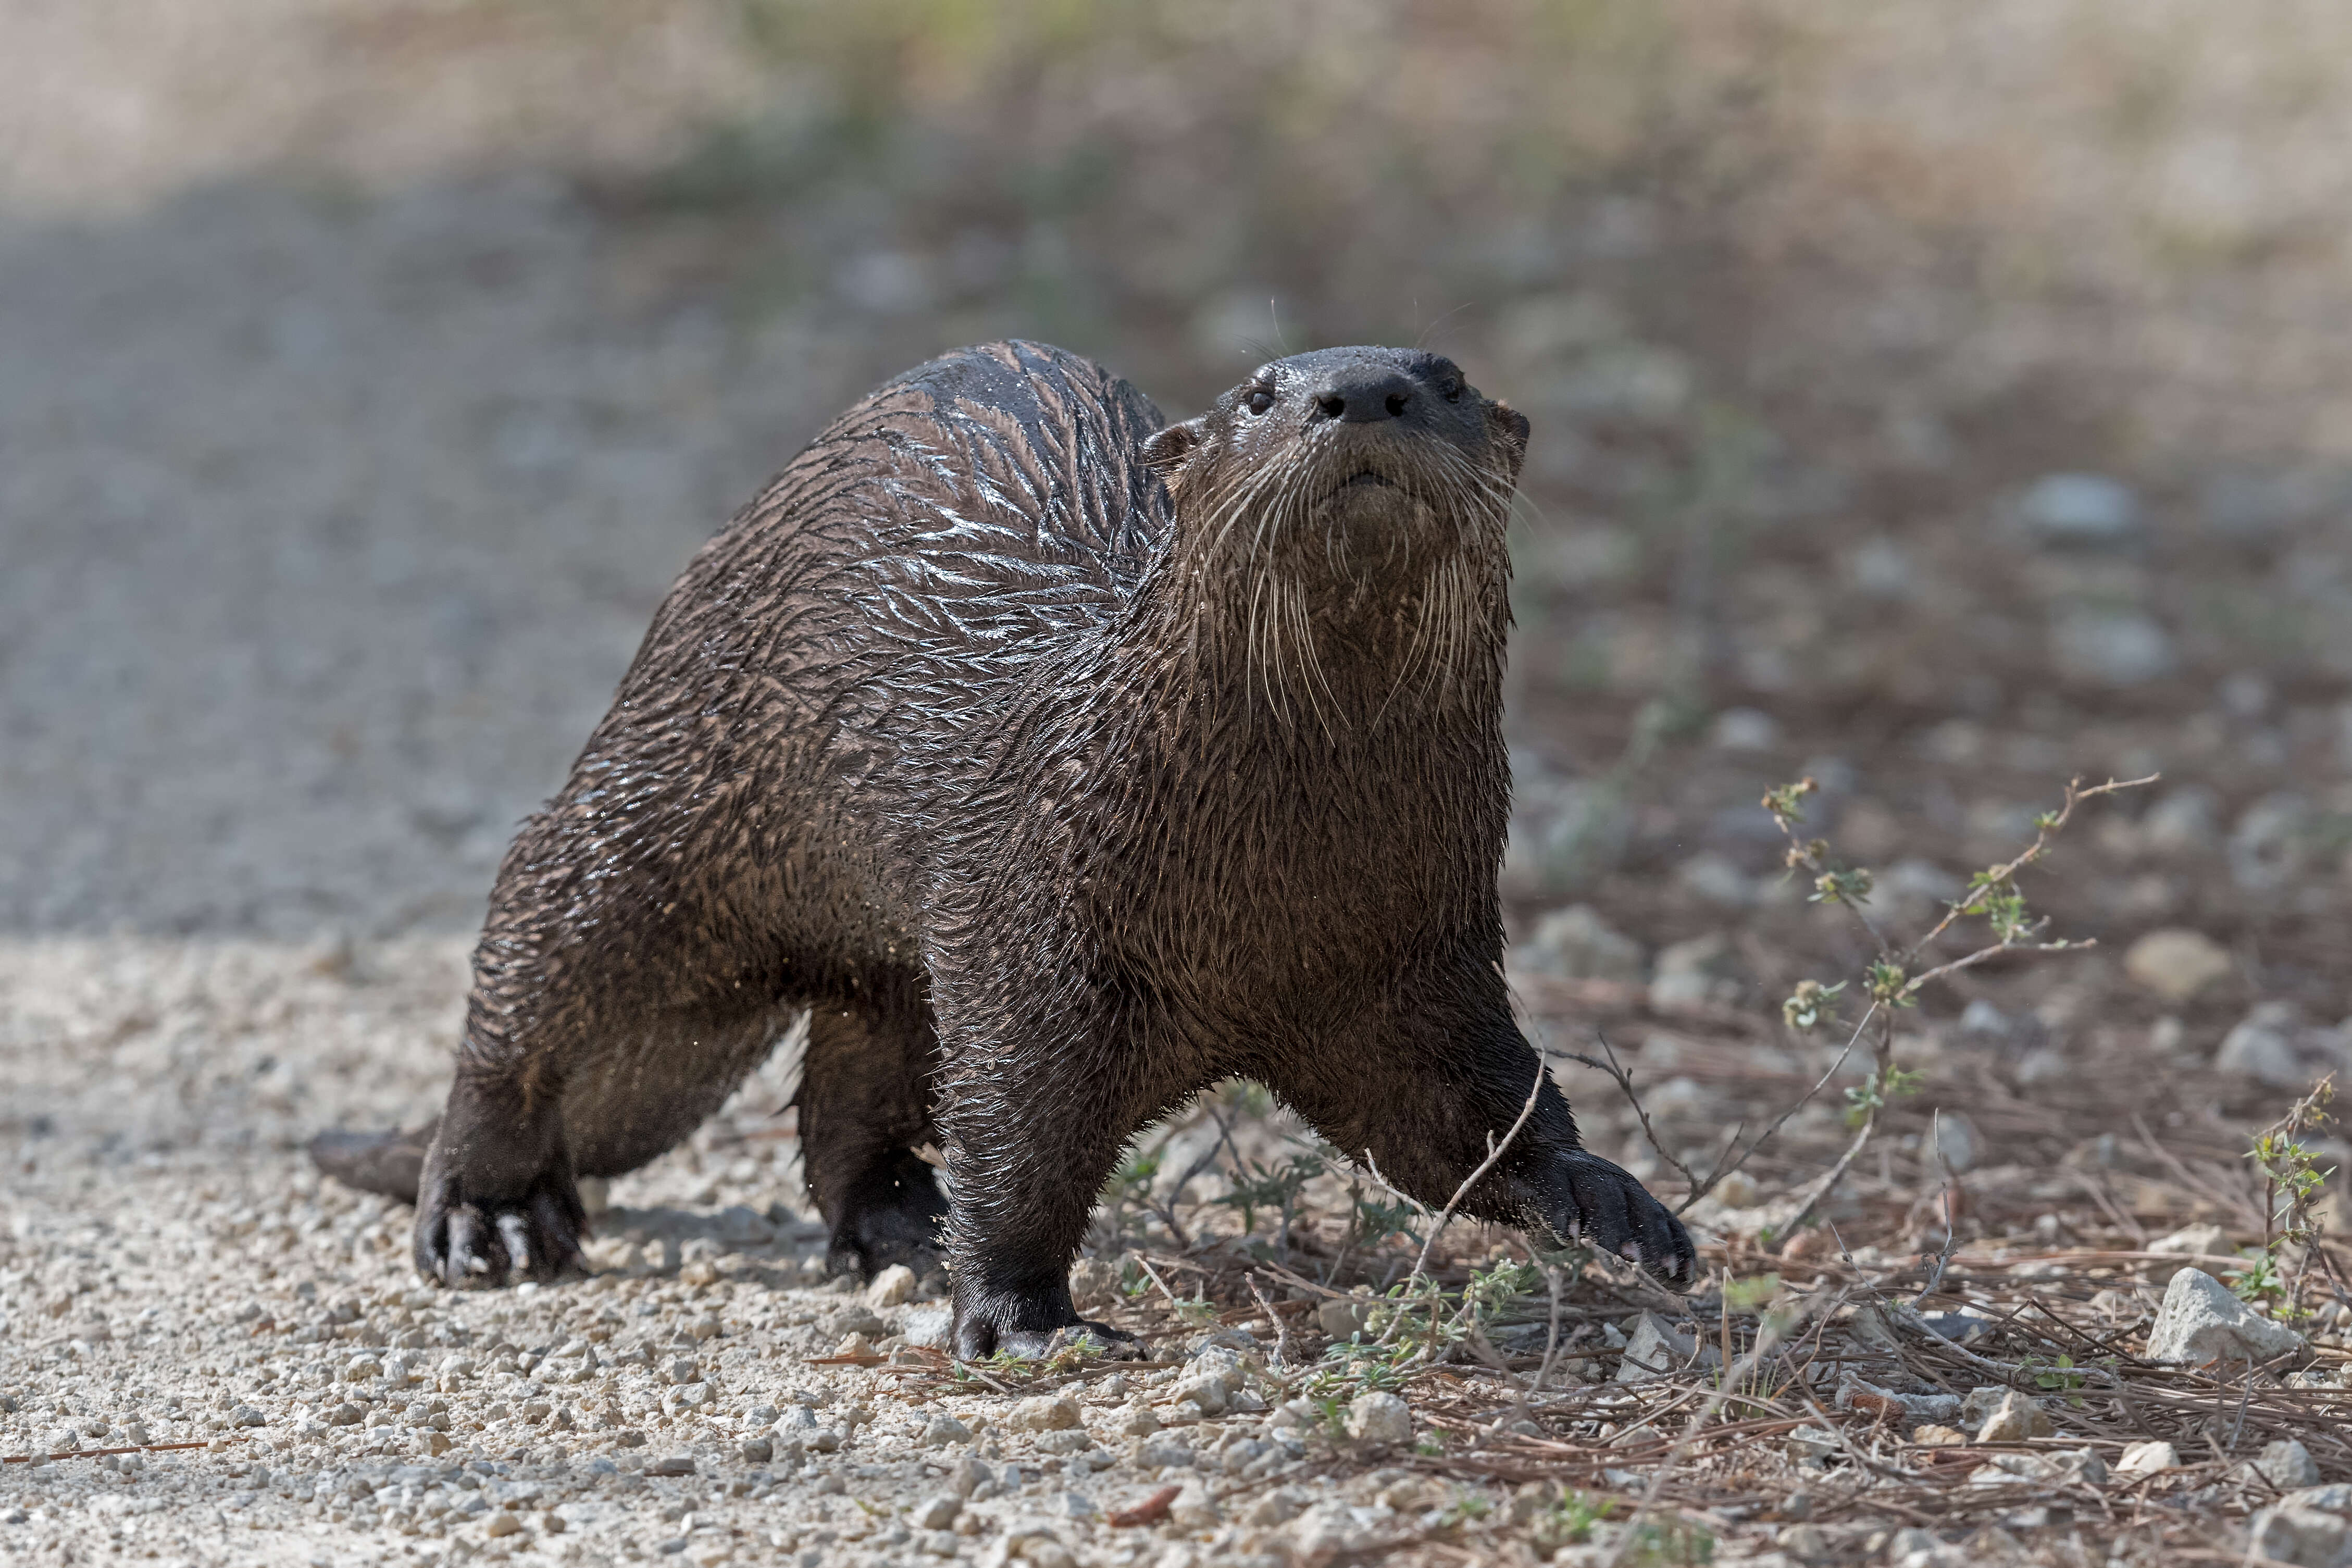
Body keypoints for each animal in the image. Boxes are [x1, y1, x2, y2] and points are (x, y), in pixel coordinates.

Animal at [322, 338, 1702, 1354]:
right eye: (1259, 391)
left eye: (1449, 377)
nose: (1361, 391)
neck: (1268, 887)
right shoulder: (1033, 922)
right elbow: (1023, 1134)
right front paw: (1023, 1314)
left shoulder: (1411, 964)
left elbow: (1467, 1117)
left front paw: (1612, 1201)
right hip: (660, 803)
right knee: (526, 973)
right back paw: (490, 1216)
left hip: (891, 950)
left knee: (851, 1091)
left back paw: (900, 1227)